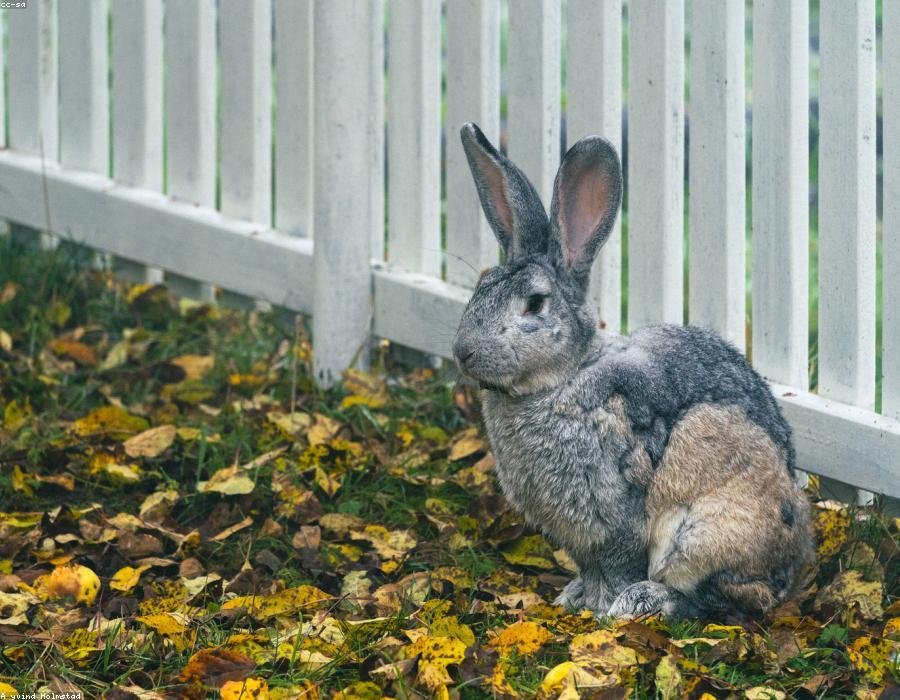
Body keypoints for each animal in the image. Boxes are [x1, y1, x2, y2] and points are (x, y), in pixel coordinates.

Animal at [452, 122, 814, 619]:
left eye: (535, 303)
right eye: (481, 284)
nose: (462, 351)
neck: (561, 378)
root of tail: (791, 572)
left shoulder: (618, 517)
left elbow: (617, 564)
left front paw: (602, 607)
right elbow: (590, 568)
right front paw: (574, 597)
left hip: (705, 531)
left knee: (726, 599)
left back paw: (646, 601)